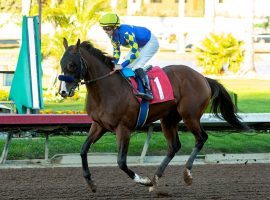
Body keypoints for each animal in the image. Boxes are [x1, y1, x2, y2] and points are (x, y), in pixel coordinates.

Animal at [58, 38, 248, 193]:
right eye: (61, 63)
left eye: (72, 65)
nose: (63, 91)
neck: (106, 90)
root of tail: (202, 77)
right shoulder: (99, 125)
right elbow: (83, 150)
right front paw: (90, 182)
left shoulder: (123, 129)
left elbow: (121, 162)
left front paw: (143, 180)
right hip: (168, 119)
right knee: (174, 146)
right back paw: (155, 179)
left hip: (190, 115)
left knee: (201, 138)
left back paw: (186, 175)